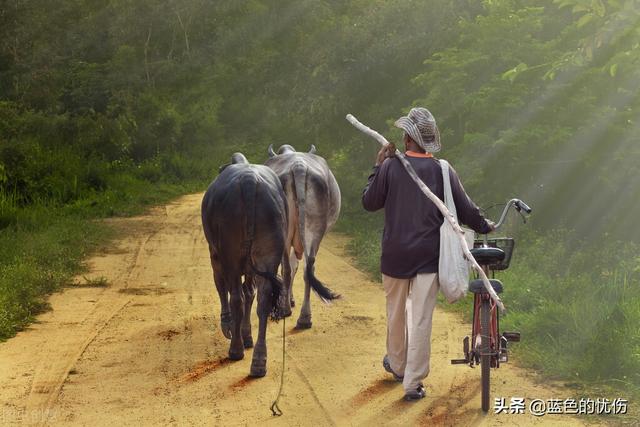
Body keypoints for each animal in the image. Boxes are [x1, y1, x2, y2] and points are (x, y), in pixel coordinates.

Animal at [201, 154, 292, 378]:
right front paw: (246, 334)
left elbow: (225, 290)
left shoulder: (215, 256)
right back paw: (259, 360)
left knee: (236, 297)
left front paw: (229, 325)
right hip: (269, 252)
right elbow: (250, 292)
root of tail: (250, 180)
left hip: (229, 255)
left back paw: (236, 349)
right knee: (262, 300)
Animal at [266, 145, 342, 330]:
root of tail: (298, 166)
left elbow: (288, 267)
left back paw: (285, 309)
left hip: (285, 232)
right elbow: (297, 266)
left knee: (286, 269)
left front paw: (288, 300)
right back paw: (305, 318)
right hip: (315, 230)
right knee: (309, 268)